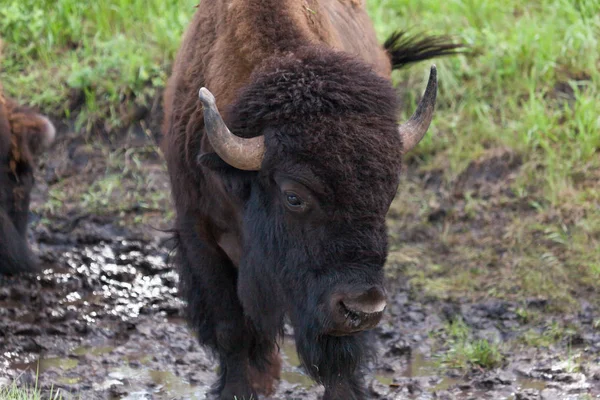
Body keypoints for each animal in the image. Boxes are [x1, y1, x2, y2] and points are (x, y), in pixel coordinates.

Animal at [161, 1, 464, 398]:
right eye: (293, 196)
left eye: (389, 192)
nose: (364, 308)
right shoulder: (197, 233)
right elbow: (231, 328)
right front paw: (238, 389)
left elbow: (340, 355)